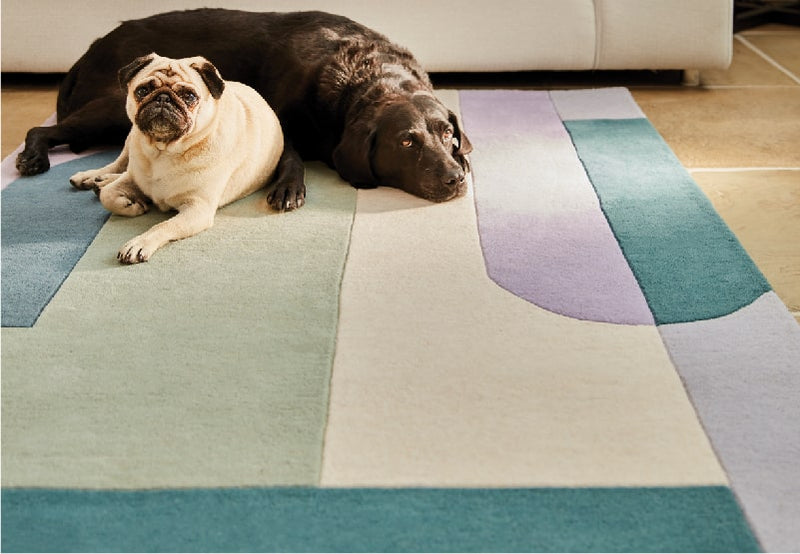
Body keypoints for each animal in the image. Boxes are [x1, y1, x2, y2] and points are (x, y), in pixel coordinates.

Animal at [15, 8, 472, 211]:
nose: (456, 179)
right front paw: (289, 188)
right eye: (406, 142)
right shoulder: (280, 123)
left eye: (448, 134)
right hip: (116, 107)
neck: (367, 73)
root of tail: (91, 47)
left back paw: (92, 177)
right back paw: (35, 159)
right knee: (44, 131)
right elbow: (290, 158)